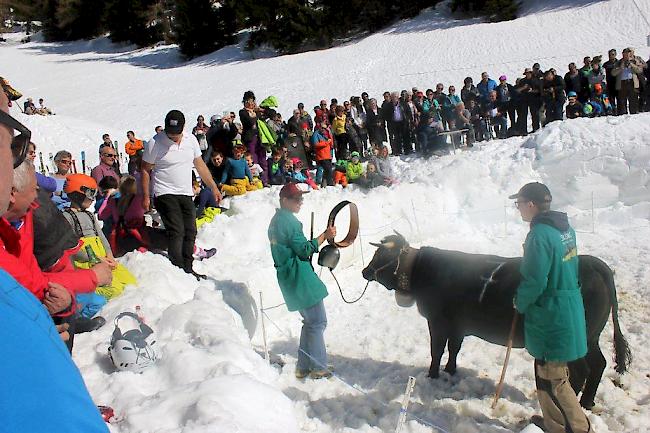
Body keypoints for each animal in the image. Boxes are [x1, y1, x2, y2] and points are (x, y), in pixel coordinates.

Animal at [360, 231, 628, 406]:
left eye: (381, 255)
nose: (364, 271)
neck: (422, 271)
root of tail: (593, 263)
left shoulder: (437, 321)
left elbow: (437, 350)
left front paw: (432, 375)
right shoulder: (457, 325)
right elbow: (454, 349)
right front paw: (450, 371)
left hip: (575, 339)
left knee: (582, 370)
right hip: (592, 337)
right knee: (600, 364)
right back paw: (587, 402)